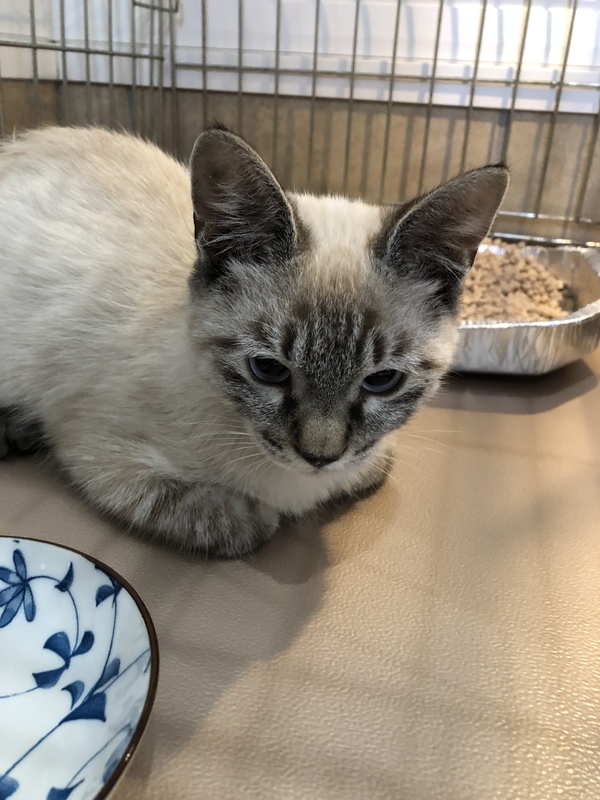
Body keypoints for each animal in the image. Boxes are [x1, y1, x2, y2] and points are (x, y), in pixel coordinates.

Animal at [0, 125, 508, 557]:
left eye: (381, 381)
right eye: (269, 370)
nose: (320, 457)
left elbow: (373, 465)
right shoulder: (97, 450)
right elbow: (228, 520)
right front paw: (260, 516)